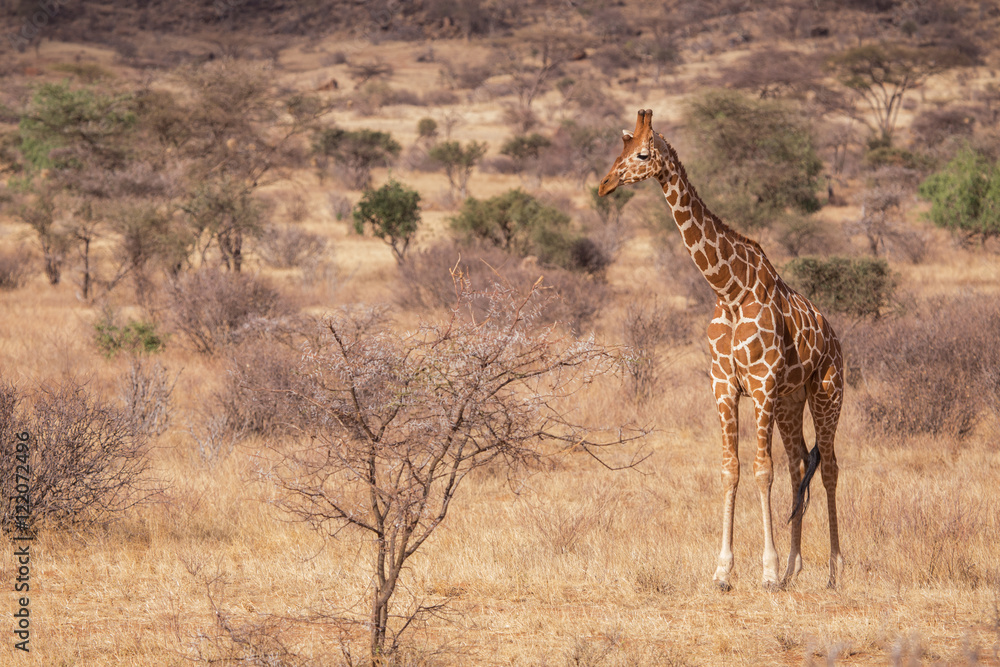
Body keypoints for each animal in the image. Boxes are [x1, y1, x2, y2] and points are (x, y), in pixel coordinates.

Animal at [599, 109, 844, 590]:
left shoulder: (761, 385)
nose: (604, 185)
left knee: (827, 467)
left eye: (641, 154)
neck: (728, 288)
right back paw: (795, 566)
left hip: (827, 393)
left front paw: (766, 571)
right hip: (792, 401)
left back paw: (833, 569)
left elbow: (762, 471)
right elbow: (731, 469)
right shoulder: (724, 386)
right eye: (620, 147)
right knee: (798, 465)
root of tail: (836, 340)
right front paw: (724, 570)